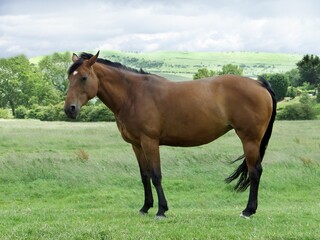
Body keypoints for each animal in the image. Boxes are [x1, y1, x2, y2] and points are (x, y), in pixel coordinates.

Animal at [64, 51, 276, 218]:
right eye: (69, 78)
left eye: (83, 78)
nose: (70, 109)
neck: (133, 94)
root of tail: (259, 84)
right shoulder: (137, 145)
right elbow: (144, 175)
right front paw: (145, 207)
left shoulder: (150, 142)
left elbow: (156, 175)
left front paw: (161, 210)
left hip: (250, 140)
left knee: (255, 171)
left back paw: (248, 211)